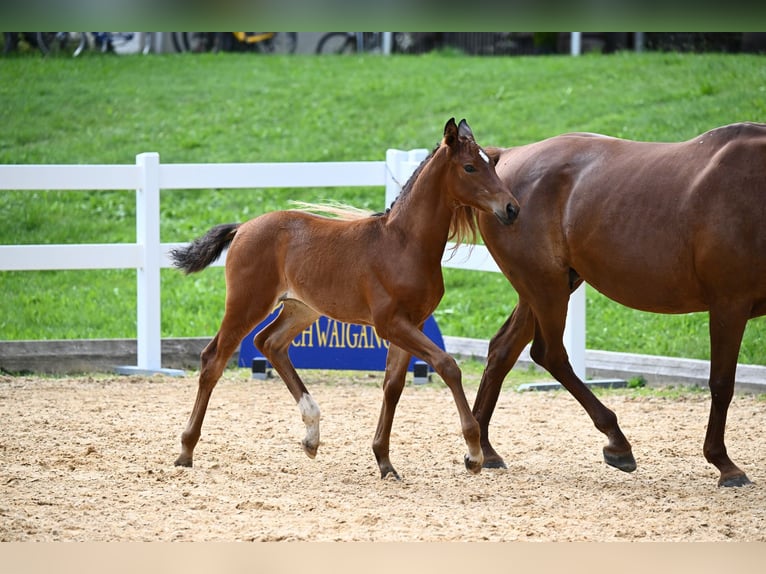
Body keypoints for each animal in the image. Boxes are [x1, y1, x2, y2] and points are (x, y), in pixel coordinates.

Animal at [172, 118, 524, 482]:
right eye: (469, 167)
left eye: (491, 164)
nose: (511, 208)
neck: (404, 243)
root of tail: (242, 228)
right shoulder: (390, 324)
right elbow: (447, 365)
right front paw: (473, 454)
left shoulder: (412, 323)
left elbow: (393, 386)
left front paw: (384, 462)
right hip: (247, 304)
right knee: (213, 358)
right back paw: (186, 450)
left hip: (301, 309)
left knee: (269, 343)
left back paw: (311, 436)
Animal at [476, 124, 764, 488]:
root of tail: (505, 157)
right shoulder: (729, 304)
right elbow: (722, 383)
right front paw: (725, 464)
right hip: (545, 286)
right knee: (549, 354)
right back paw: (618, 443)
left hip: (545, 288)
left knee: (502, 350)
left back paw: (484, 449)